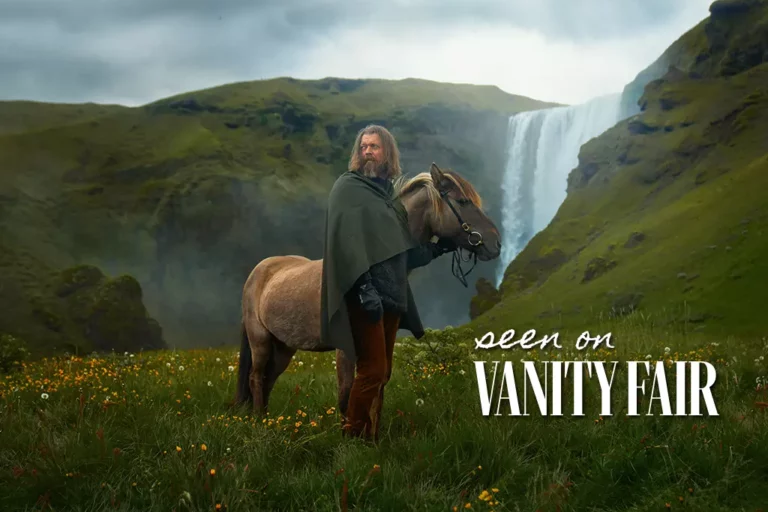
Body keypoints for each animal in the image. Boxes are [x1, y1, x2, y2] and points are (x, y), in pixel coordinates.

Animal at [234, 162, 504, 418]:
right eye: (463, 201)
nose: (496, 242)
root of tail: (259, 270)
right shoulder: (345, 347)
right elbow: (346, 394)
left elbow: (376, 393)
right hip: (260, 340)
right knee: (256, 378)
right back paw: (259, 421)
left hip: (284, 346)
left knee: (268, 380)